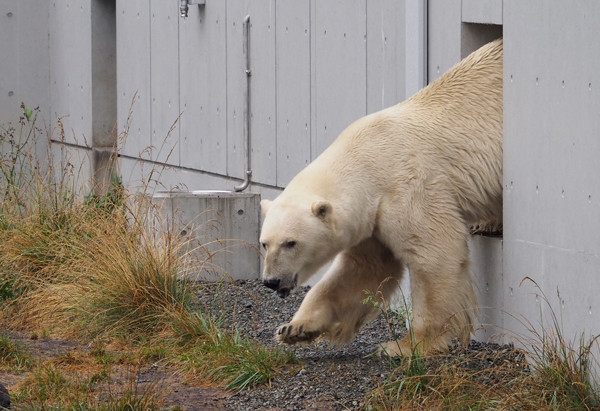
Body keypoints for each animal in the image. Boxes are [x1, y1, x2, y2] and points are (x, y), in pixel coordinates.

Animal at [260, 38, 504, 358]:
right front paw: (295, 328)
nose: (271, 281)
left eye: (291, 243)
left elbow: (435, 254)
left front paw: (405, 345)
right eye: (264, 243)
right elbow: (363, 271)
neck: (366, 159)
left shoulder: (406, 187)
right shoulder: (370, 218)